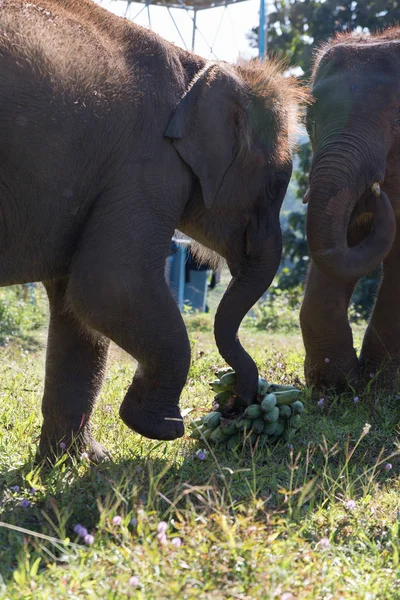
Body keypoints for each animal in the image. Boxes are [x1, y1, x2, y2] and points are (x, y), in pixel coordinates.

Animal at [0, 1, 304, 460]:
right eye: (275, 185)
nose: (237, 403)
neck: (196, 66)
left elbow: (76, 308)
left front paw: (79, 461)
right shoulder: (147, 164)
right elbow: (110, 286)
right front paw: (161, 428)